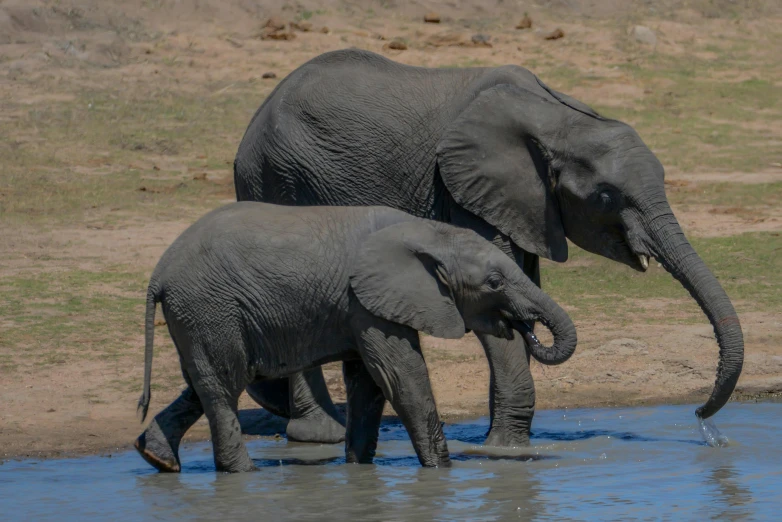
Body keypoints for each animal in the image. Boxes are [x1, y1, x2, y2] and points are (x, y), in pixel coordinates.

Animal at [135, 202, 580, 472]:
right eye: (493, 283)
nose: (530, 331)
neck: (429, 232)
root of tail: (158, 274)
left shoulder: (363, 306)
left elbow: (369, 384)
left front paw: (358, 470)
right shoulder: (366, 301)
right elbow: (401, 378)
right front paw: (442, 471)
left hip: (200, 315)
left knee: (203, 383)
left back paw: (158, 459)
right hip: (209, 307)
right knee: (225, 385)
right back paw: (243, 473)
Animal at [231, 47, 740, 442]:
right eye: (605, 197)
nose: (698, 413)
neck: (558, 119)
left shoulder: (524, 205)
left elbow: (521, 285)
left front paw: (503, 442)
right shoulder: (464, 190)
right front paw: (506, 451)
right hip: (278, 177)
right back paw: (319, 435)